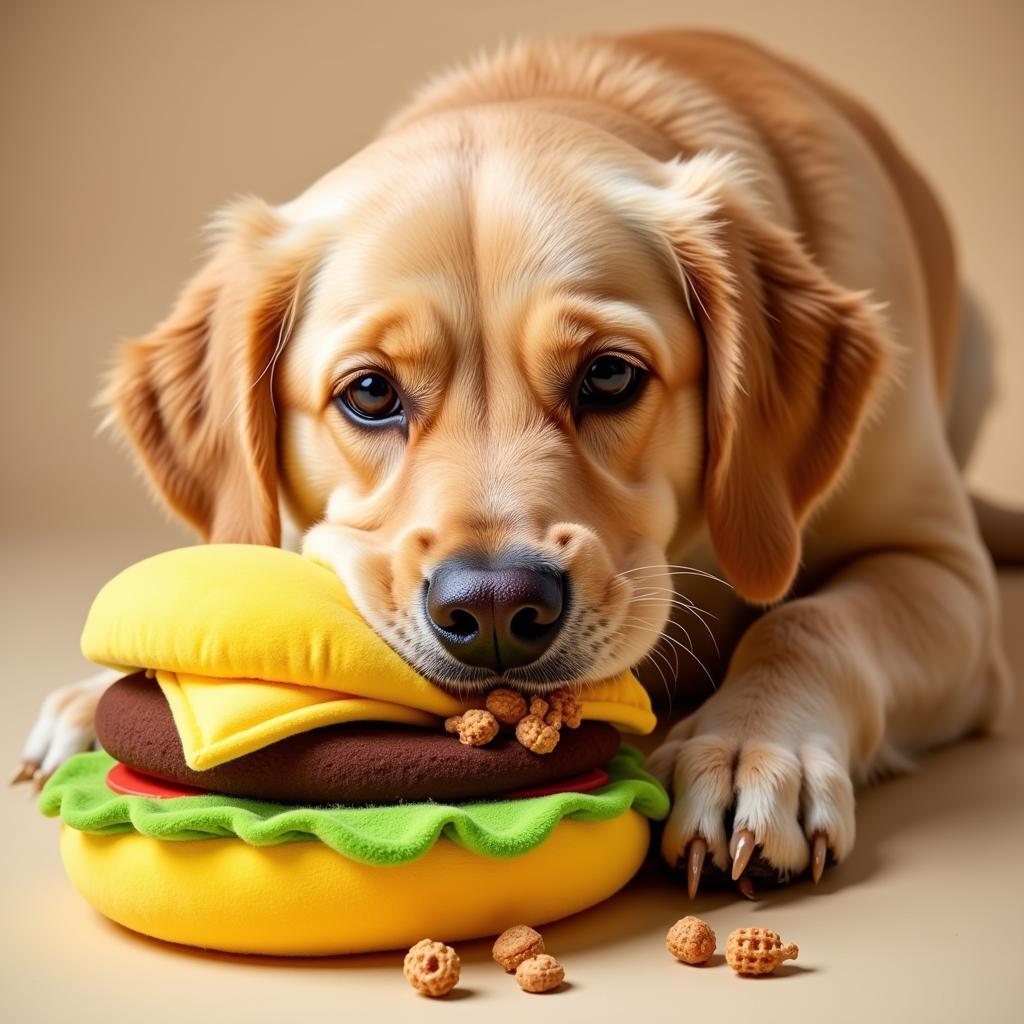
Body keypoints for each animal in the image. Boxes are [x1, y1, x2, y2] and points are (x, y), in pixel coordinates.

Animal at [16, 29, 1015, 897]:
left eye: (609, 374)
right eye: (369, 393)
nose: (496, 610)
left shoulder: (942, 572)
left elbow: (808, 622)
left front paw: (747, 752)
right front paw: (97, 699)